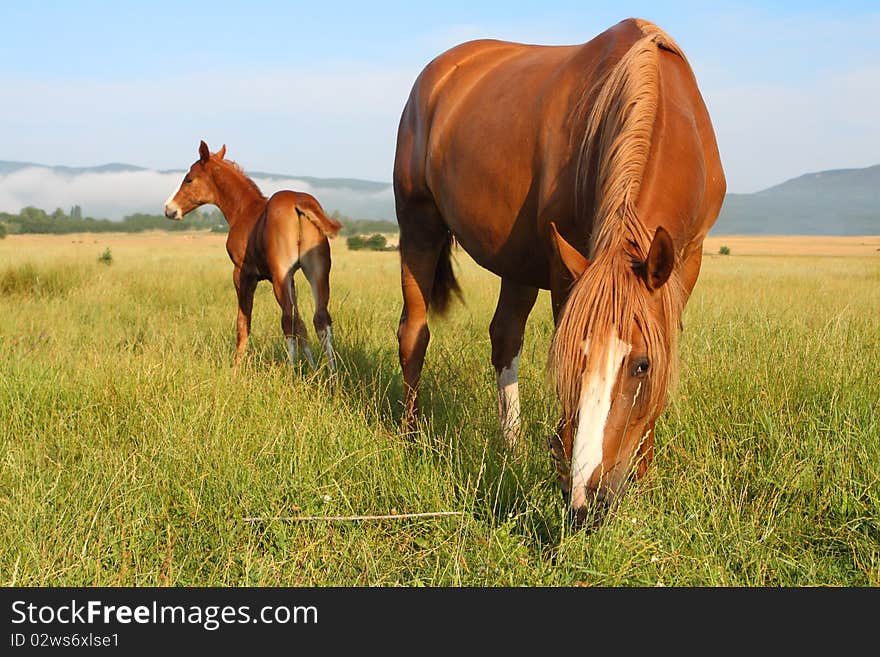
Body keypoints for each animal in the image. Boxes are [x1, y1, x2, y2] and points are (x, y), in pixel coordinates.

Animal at [163, 140, 342, 368]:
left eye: (189, 179)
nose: (169, 209)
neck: (243, 209)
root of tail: (299, 203)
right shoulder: (292, 278)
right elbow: (301, 323)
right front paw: (312, 368)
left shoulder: (243, 273)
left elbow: (243, 324)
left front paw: (236, 369)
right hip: (317, 271)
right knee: (320, 319)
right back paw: (331, 374)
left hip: (280, 276)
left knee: (288, 321)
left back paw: (292, 372)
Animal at [396, 18, 724, 520]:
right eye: (574, 356)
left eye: (641, 366)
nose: (589, 499)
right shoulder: (564, 266)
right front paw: (565, 464)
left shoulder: (686, 262)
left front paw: (642, 475)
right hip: (419, 225)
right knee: (414, 333)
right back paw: (412, 436)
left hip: (518, 258)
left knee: (504, 336)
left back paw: (511, 446)